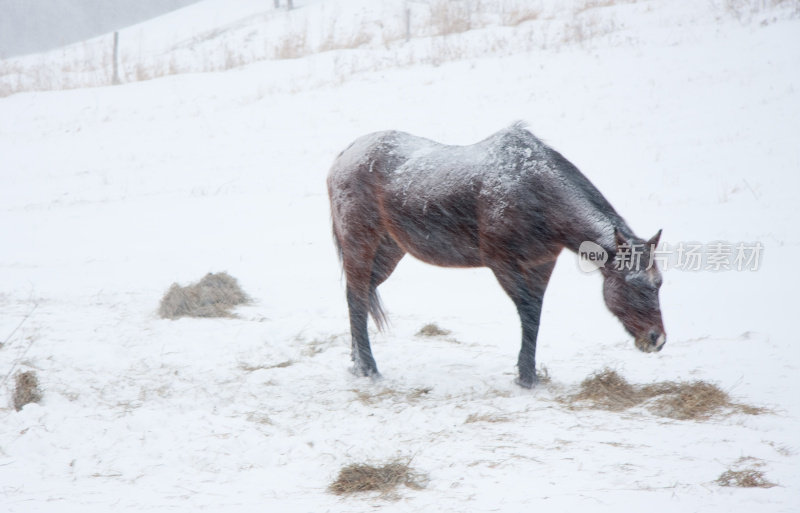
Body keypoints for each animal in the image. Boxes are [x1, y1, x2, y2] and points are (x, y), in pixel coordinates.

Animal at [328, 122, 664, 386]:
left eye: (658, 283)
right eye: (633, 284)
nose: (656, 339)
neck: (534, 189)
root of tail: (343, 156)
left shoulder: (541, 265)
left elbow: (535, 315)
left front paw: (528, 373)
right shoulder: (502, 264)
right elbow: (527, 313)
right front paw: (526, 377)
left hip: (389, 251)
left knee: (358, 295)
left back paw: (357, 362)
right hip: (361, 244)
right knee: (356, 298)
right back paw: (369, 368)